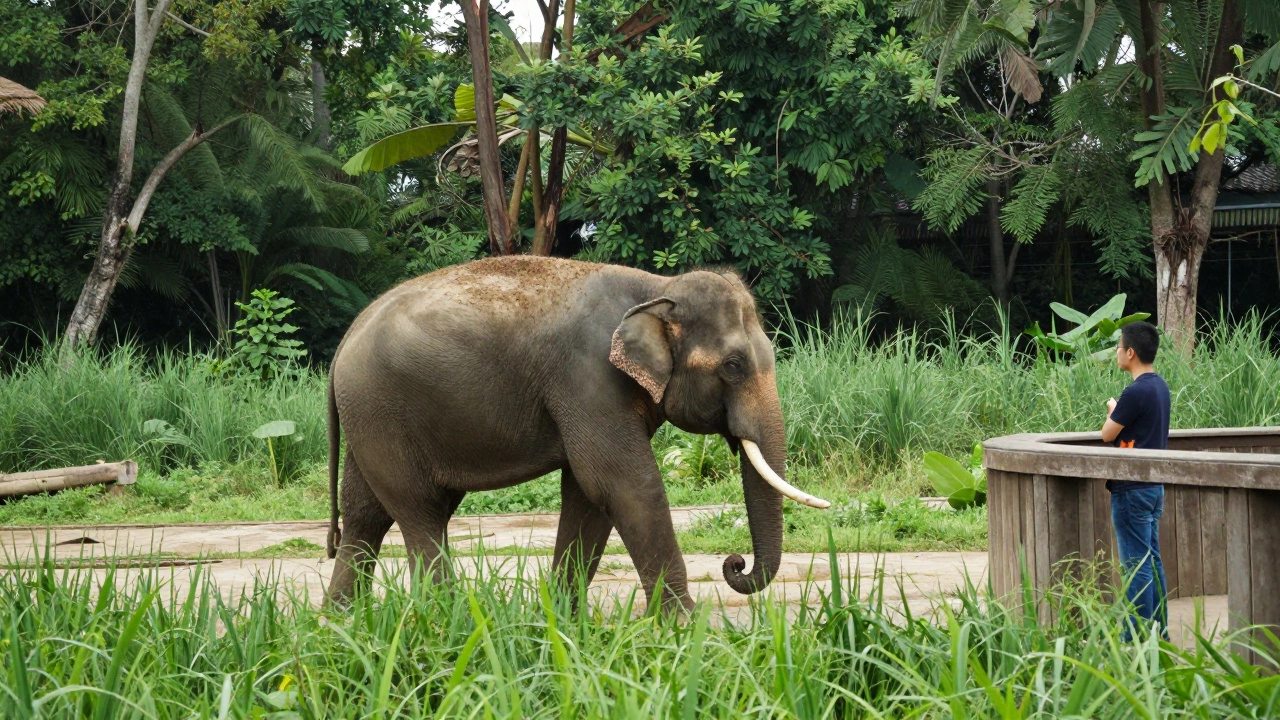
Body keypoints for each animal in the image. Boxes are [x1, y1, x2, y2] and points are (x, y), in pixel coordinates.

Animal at [324, 255, 829, 610]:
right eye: (733, 365)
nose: (735, 562)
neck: (658, 288)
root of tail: (344, 342)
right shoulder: (588, 378)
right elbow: (623, 484)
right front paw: (683, 628)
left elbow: (587, 494)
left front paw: (563, 622)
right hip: (381, 411)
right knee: (420, 509)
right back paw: (447, 616)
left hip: (371, 418)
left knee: (368, 511)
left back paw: (344, 620)